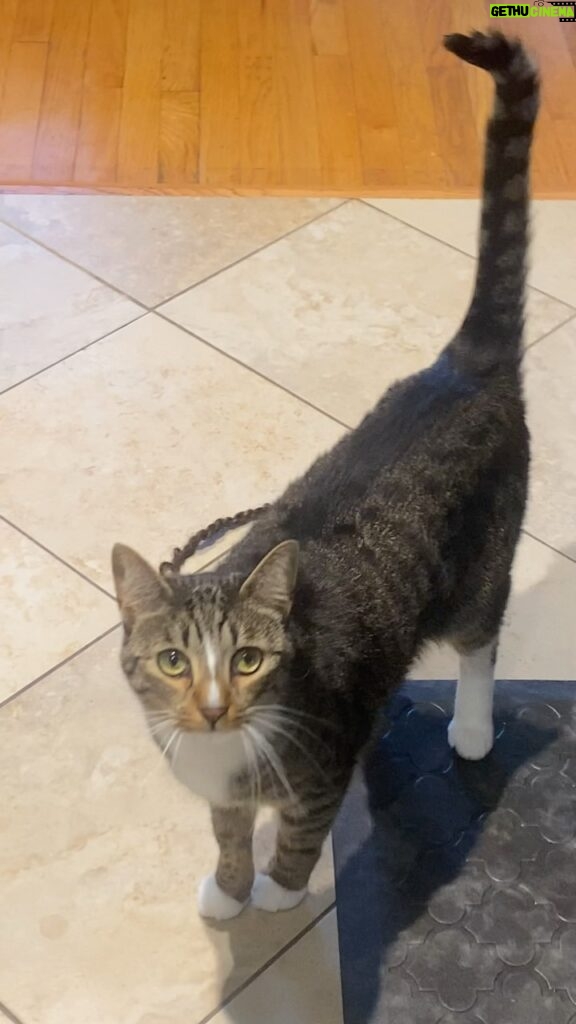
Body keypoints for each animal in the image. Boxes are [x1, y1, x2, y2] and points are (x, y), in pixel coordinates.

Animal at [113, 32, 537, 921]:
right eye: (172, 662)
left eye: (248, 660)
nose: (213, 708)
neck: (228, 746)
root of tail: (462, 367)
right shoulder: (223, 790)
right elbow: (227, 832)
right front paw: (229, 887)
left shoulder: (318, 771)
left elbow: (302, 834)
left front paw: (277, 890)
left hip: (482, 564)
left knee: (481, 639)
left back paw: (473, 723)